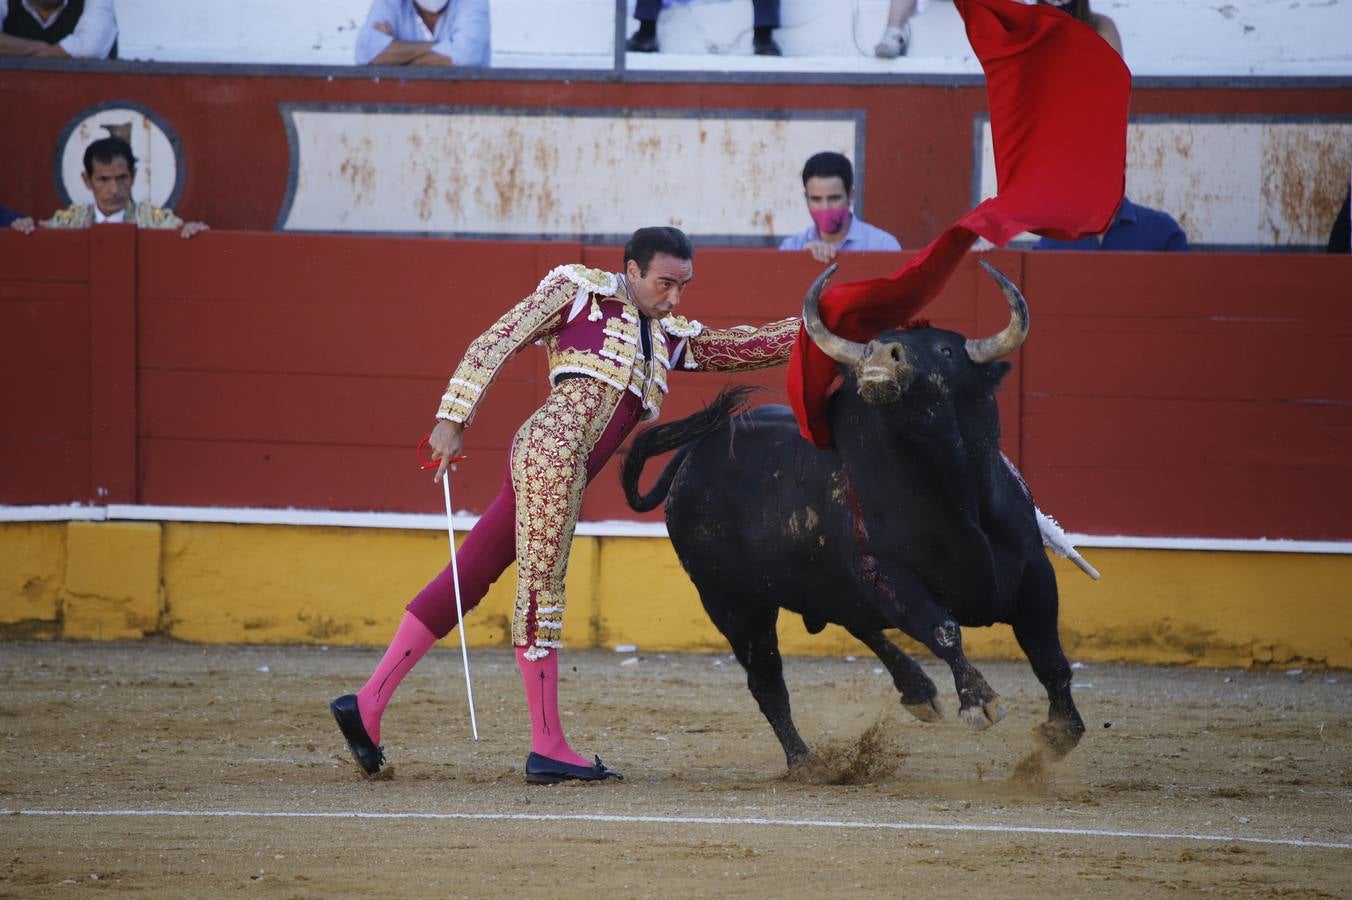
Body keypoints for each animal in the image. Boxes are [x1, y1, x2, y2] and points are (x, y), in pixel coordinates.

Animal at [619, 263, 1087, 767]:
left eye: (945, 350)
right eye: (878, 339)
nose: (880, 353)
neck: (952, 498)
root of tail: (692, 452)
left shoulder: (1035, 574)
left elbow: (1050, 656)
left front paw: (1062, 731)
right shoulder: (888, 576)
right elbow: (943, 629)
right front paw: (980, 702)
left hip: (816, 584)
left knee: (855, 622)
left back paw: (917, 691)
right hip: (732, 603)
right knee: (767, 681)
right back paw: (805, 761)